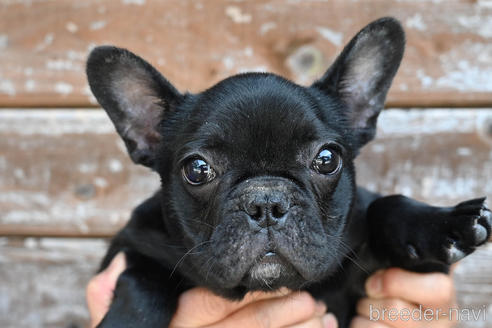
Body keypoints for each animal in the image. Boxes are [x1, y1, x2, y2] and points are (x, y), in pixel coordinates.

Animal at [86, 18, 490, 328]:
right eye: (197, 170)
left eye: (326, 159)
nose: (266, 204)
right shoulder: (133, 243)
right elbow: (142, 280)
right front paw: (125, 321)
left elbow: (384, 205)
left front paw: (443, 223)